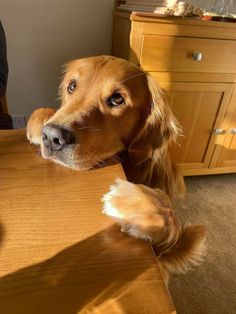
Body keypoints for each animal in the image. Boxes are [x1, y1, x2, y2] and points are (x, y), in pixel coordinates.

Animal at [26, 55, 206, 284]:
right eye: (72, 86)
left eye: (117, 99)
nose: (51, 136)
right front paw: (41, 116)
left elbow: (169, 215)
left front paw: (132, 202)